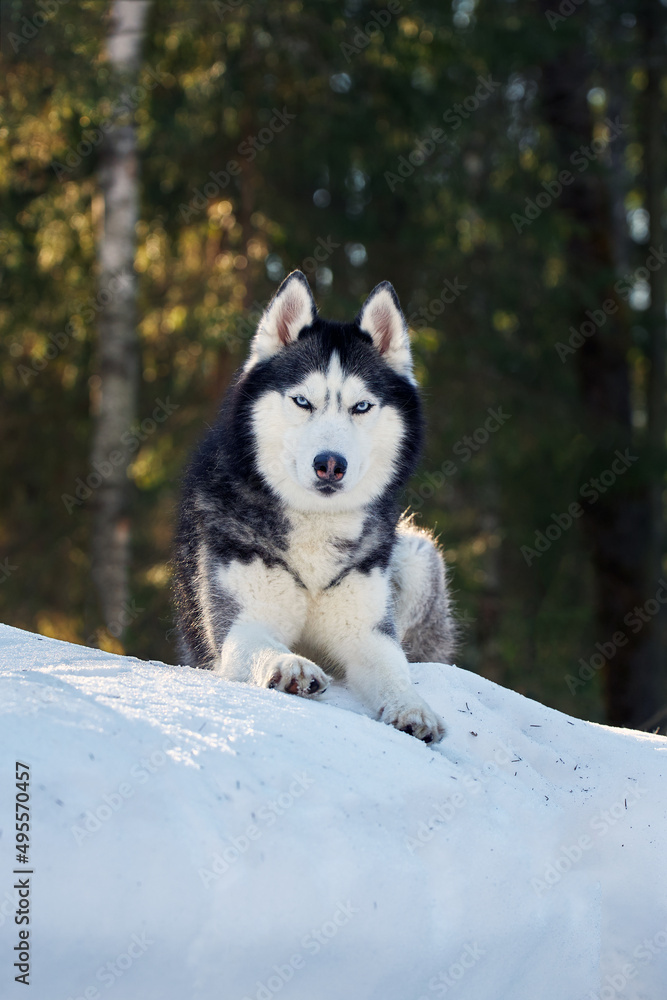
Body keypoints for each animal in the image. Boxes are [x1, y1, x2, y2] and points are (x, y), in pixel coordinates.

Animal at [172, 270, 456, 740]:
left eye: (361, 406)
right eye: (303, 401)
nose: (330, 464)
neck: (315, 525)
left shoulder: (367, 631)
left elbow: (394, 670)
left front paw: (412, 708)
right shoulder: (238, 626)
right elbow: (262, 646)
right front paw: (290, 666)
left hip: (417, 556)